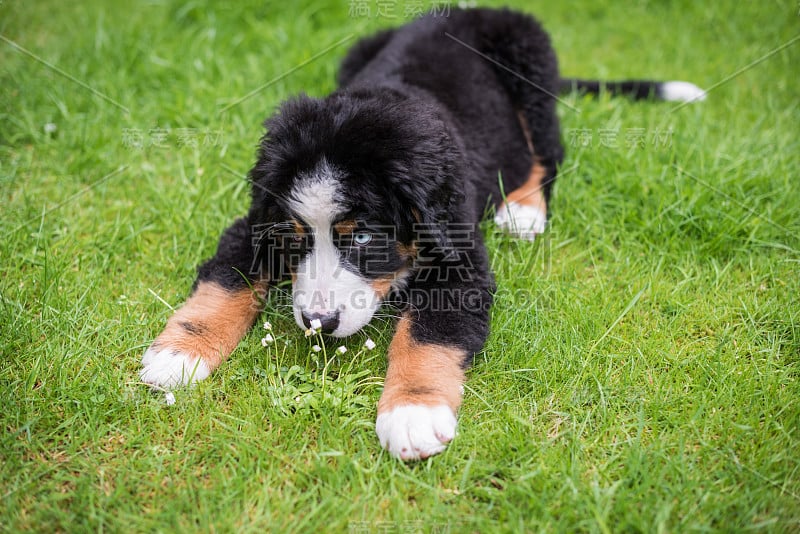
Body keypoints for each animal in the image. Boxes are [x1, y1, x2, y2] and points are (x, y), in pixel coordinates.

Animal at [141, 6, 704, 462]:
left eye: (362, 239)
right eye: (296, 236)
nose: (318, 323)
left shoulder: (461, 257)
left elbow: (429, 333)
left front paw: (412, 413)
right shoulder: (254, 224)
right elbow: (227, 281)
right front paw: (179, 354)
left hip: (532, 71)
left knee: (547, 150)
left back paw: (523, 210)